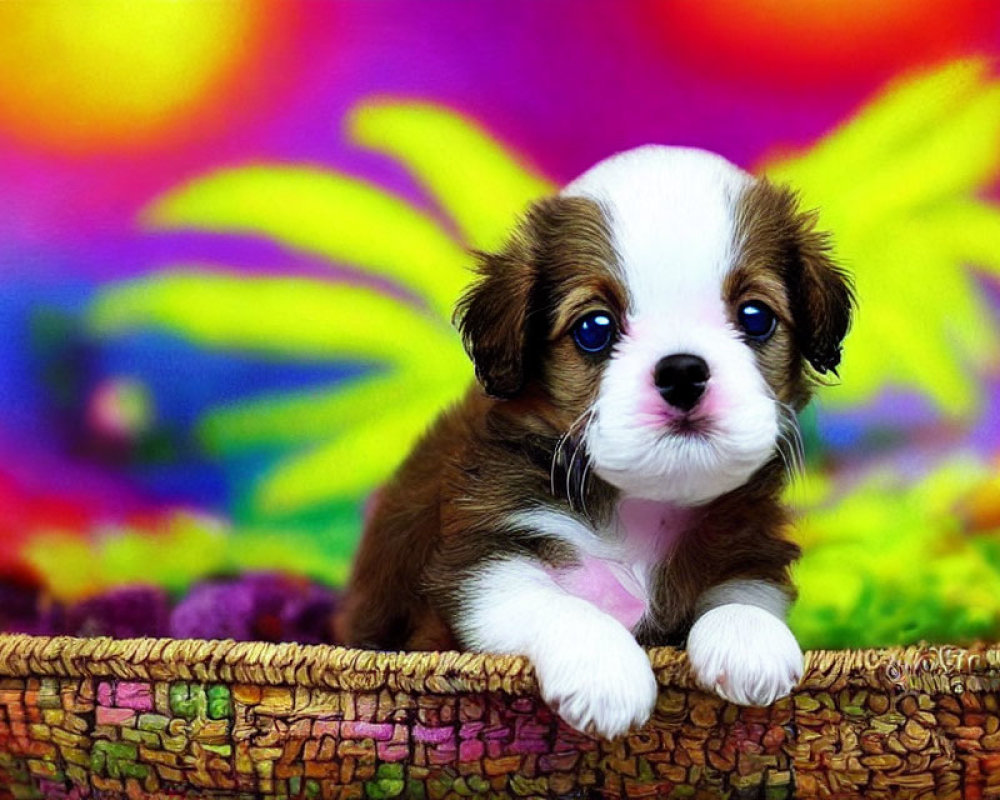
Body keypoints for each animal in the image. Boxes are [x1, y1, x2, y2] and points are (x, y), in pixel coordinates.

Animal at [336, 145, 852, 736]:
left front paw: (749, 641)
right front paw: (606, 674)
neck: (642, 510)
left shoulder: (747, 551)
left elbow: (744, 598)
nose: (682, 372)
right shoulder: (478, 565)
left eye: (756, 317)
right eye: (594, 329)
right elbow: (558, 605)